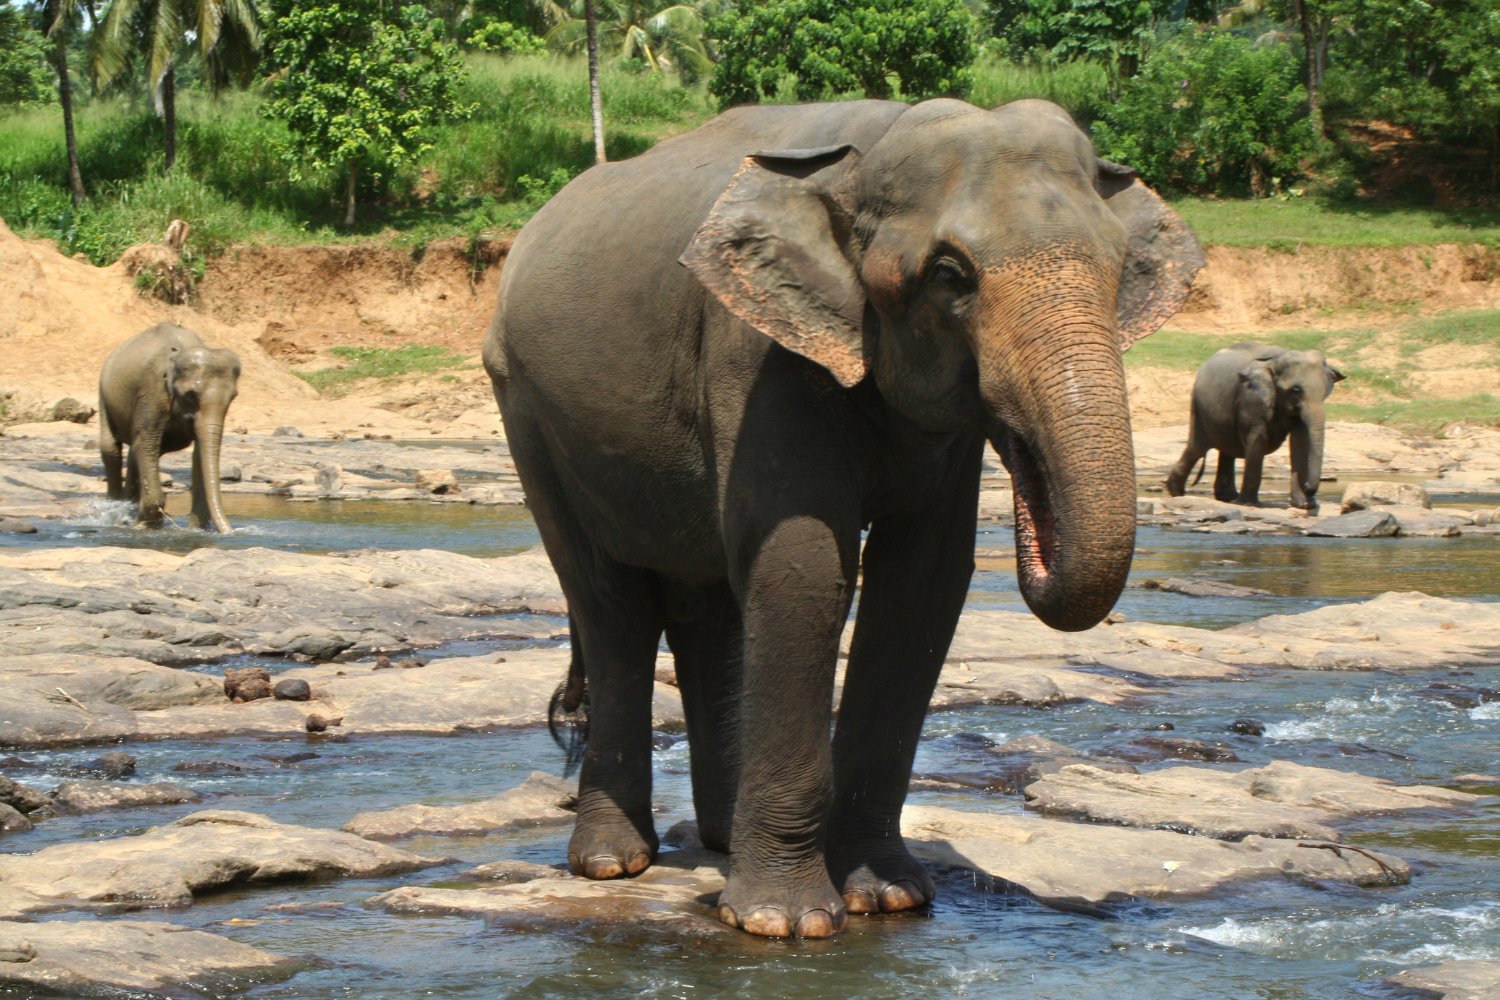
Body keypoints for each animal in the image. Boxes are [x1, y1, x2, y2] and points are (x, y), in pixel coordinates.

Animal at [98, 322, 240, 531]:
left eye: (233, 397)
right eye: (190, 395)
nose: (230, 532)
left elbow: (199, 454)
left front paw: (194, 530)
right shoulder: (151, 392)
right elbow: (146, 442)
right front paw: (145, 525)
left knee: (136, 452)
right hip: (104, 391)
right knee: (112, 448)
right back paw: (116, 512)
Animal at [484, 98, 1204, 939]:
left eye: (1121, 269)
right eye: (950, 276)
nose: (1032, 497)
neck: (868, 151)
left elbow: (923, 585)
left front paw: (888, 897)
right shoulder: (760, 351)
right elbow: (803, 567)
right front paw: (783, 922)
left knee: (707, 606)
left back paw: (719, 839)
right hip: (527, 412)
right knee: (611, 602)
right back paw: (611, 862)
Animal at [1165, 342, 1345, 510]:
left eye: (1326, 390)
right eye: (1296, 389)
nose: (1311, 493)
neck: (1277, 360)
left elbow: (1300, 442)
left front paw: (1303, 505)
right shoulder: (1252, 398)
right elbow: (1258, 439)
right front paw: (1249, 504)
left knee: (1226, 450)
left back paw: (1227, 498)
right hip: (1199, 408)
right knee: (1198, 448)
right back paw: (1177, 492)